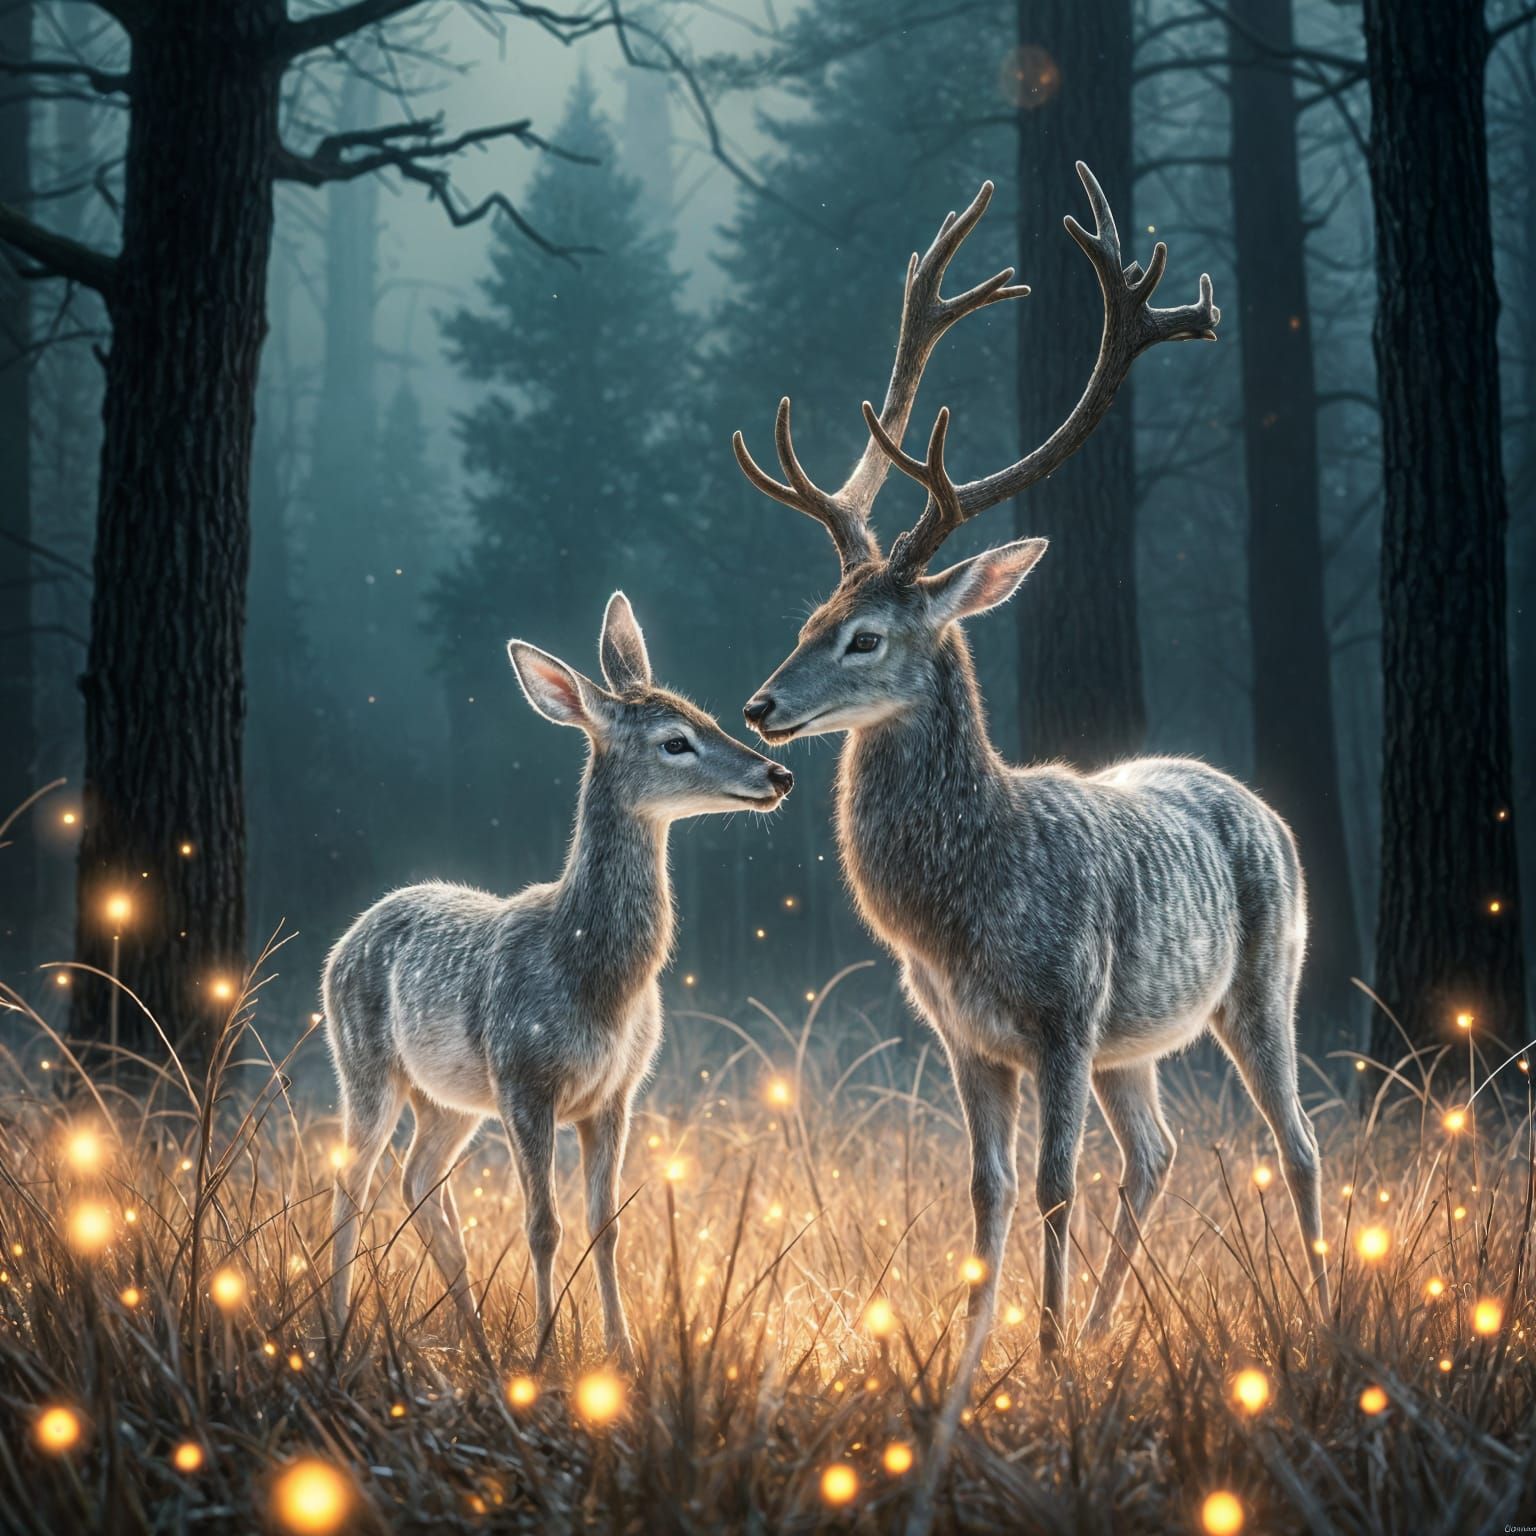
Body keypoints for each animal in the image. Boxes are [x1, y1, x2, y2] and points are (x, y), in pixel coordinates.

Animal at [323, 593, 794, 1369]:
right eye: (675, 741)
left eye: (708, 713)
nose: (776, 775)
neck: (592, 976)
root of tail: (350, 934)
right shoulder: (524, 1077)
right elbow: (542, 1224)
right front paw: (544, 1354)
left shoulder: (616, 1094)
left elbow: (607, 1226)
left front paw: (621, 1354)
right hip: (363, 1064)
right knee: (353, 1180)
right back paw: (334, 1328)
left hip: (448, 1100)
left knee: (419, 1179)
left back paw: (477, 1339)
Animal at [734, 167, 1328, 1361]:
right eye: (812, 615)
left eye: (866, 637)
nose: (762, 706)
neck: (969, 902)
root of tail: (1260, 806)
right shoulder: (964, 1035)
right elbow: (988, 1188)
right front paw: (979, 1349)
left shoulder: (1065, 1008)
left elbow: (1055, 1183)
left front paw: (1044, 1356)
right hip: (1135, 1043)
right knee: (1157, 1153)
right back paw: (1104, 1325)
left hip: (1262, 976)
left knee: (1295, 1141)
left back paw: (1326, 1306)